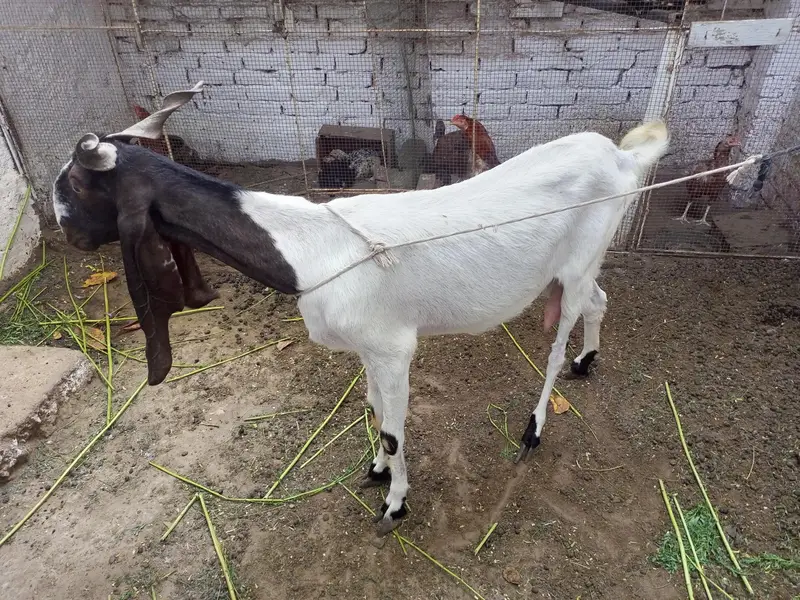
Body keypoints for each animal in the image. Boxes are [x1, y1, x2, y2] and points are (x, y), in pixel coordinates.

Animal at [52, 82, 669, 536]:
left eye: (77, 186)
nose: (68, 235)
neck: (310, 248)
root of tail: (622, 155)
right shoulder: (368, 348)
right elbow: (374, 410)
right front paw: (376, 471)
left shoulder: (394, 348)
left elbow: (394, 429)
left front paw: (395, 504)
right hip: (580, 265)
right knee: (599, 300)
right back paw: (588, 362)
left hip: (579, 260)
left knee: (557, 342)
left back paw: (534, 428)